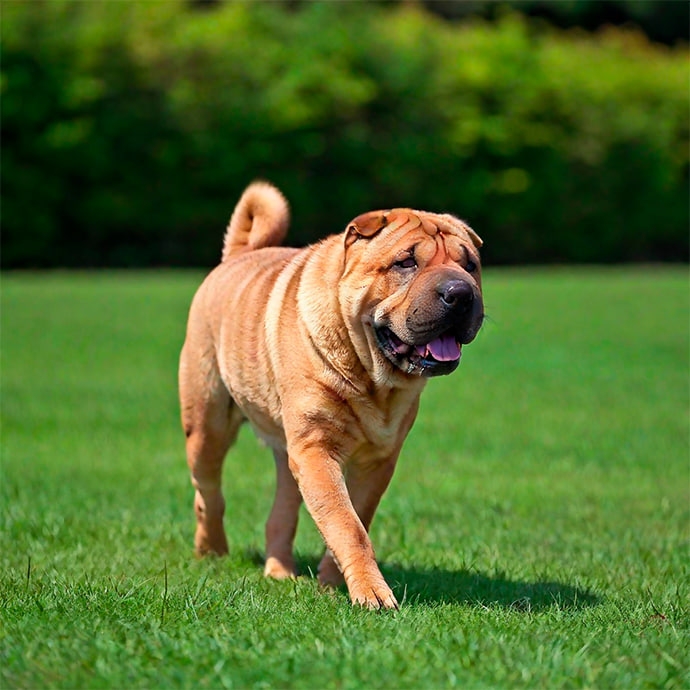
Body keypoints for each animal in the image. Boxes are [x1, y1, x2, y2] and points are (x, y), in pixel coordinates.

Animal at [181, 183, 484, 608]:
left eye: (470, 265)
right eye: (405, 263)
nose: (460, 293)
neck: (372, 378)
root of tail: (238, 254)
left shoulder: (375, 461)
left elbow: (353, 521)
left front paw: (333, 584)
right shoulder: (316, 449)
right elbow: (346, 524)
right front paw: (373, 595)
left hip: (286, 452)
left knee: (281, 512)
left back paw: (279, 572)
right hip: (207, 425)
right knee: (208, 493)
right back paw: (211, 552)